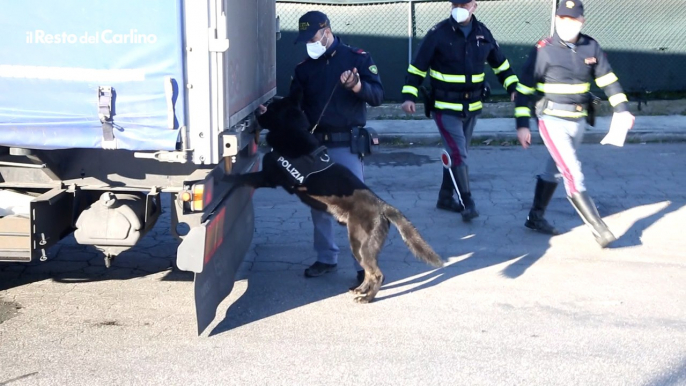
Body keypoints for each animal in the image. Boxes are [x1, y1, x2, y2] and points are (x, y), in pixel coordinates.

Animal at [228, 92, 444, 304]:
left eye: (272, 107)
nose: (260, 107)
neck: (292, 129)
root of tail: (384, 206)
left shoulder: (267, 177)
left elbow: (244, 177)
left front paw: (226, 178)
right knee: (369, 273)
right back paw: (360, 289)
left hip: (359, 244)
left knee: (377, 274)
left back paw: (367, 298)